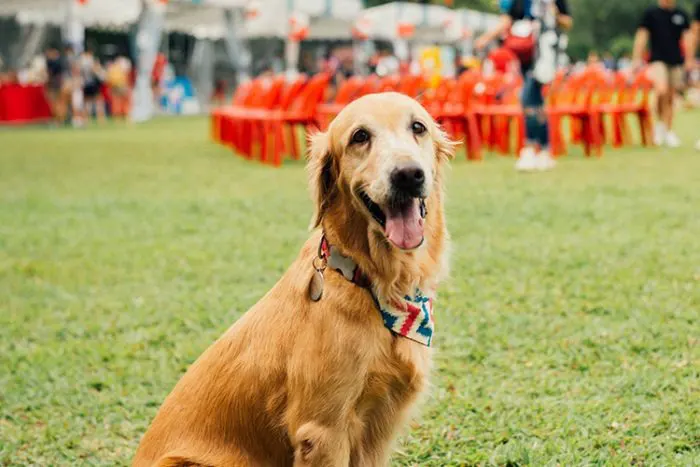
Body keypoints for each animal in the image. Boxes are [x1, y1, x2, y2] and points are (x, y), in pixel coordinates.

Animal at [134, 92, 456, 467]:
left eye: (418, 127)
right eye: (360, 136)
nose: (407, 175)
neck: (371, 282)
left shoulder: (376, 431)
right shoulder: (323, 430)